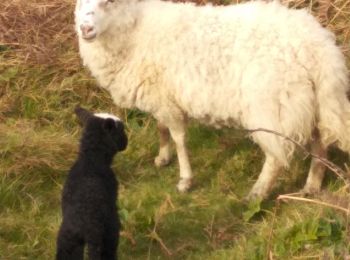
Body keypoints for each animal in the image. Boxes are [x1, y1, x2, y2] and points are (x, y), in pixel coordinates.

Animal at [56, 106, 128, 260]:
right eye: (121, 130)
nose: (126, 142)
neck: (91, 159)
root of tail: (86, 225)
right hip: (105, 237)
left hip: (68, 244)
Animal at [74, 0, 350, 199]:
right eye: (80, 2)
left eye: (109, 2)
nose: (85, 29)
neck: (135, 29)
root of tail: (317, 47)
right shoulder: (161, 94)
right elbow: (161, 128)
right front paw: (163, 157)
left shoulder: (167, 102)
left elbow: (179, 138)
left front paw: (185, 179)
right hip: (313, 100)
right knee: (321, 141)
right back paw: (312, 185)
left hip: (272, 104)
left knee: (276, 156)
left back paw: (257, 193)